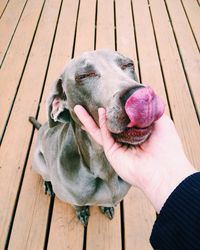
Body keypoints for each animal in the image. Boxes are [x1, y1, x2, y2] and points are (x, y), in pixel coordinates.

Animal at [29, 49, 164, 226]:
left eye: (129, 64)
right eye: (84, 75)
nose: (141, 96)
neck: (106, 169)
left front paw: (107, 207)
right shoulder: (72, 197)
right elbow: (78, 205)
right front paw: (82, 212)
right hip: (39, 163)